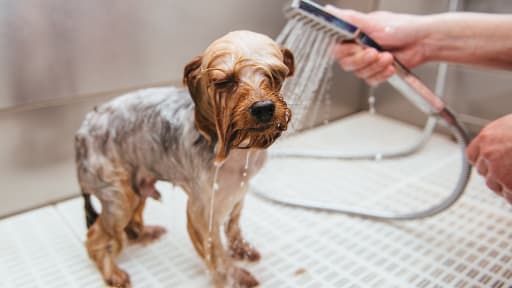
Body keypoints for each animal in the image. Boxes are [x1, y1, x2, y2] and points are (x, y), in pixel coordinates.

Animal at [74, 30, 294, 286]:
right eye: (225, 82)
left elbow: (233, 224)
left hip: (136, 186)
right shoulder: (203, 209)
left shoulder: (239, 188)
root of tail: (82, 131)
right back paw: (113, 273)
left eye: (276, 75)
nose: (263, 108)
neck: (234, 148)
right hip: (118, 196)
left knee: (131, 225)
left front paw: (242, 250)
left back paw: (146, 233)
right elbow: (216, 253)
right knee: (95, 237)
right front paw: (234, 276)